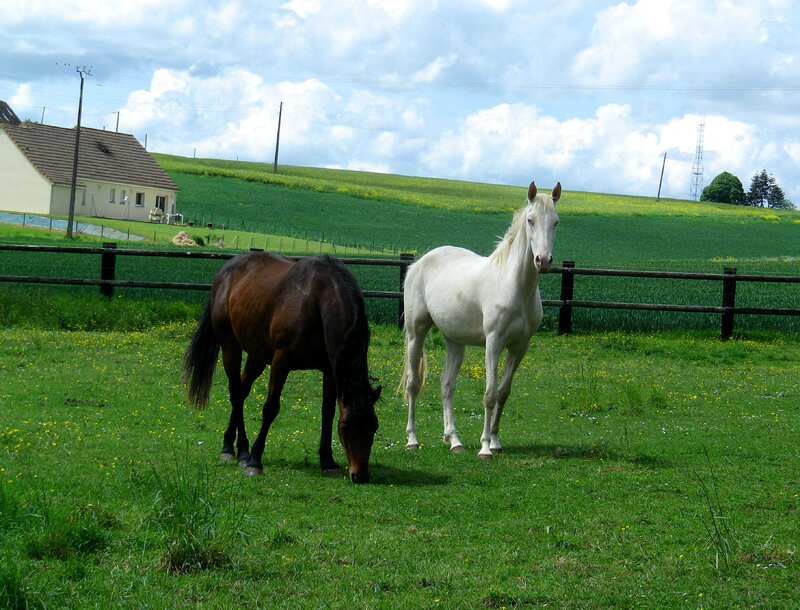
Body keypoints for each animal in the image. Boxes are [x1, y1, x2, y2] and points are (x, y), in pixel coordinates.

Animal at [184, 249, 382, 482]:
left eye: (374, 426)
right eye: (345, 428)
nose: (360, 475)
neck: (318, 301)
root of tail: (224, 273)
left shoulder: (330, 370)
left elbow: (328, 411)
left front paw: (327, 461)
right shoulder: (281, 361)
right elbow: (270, 408)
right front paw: (255, 461)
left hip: (257, 356)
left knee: (242, 391)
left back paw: (236, 448)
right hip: (230, 346)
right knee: (235, 393)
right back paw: (235, 450)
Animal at [400, 179, 564, 456]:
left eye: (555, 221)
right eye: (530, 220)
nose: (543, 260)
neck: (514, 286)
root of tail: (418, 263)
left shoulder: (520, 347)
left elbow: (503, 393)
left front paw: (495, 441)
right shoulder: (494, 343)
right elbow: (489, 393)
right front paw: (485, 447)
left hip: (455, 341)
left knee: (447, 385)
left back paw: (453, 440)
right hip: (416, 334)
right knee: (413, 384)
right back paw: (412, 439)